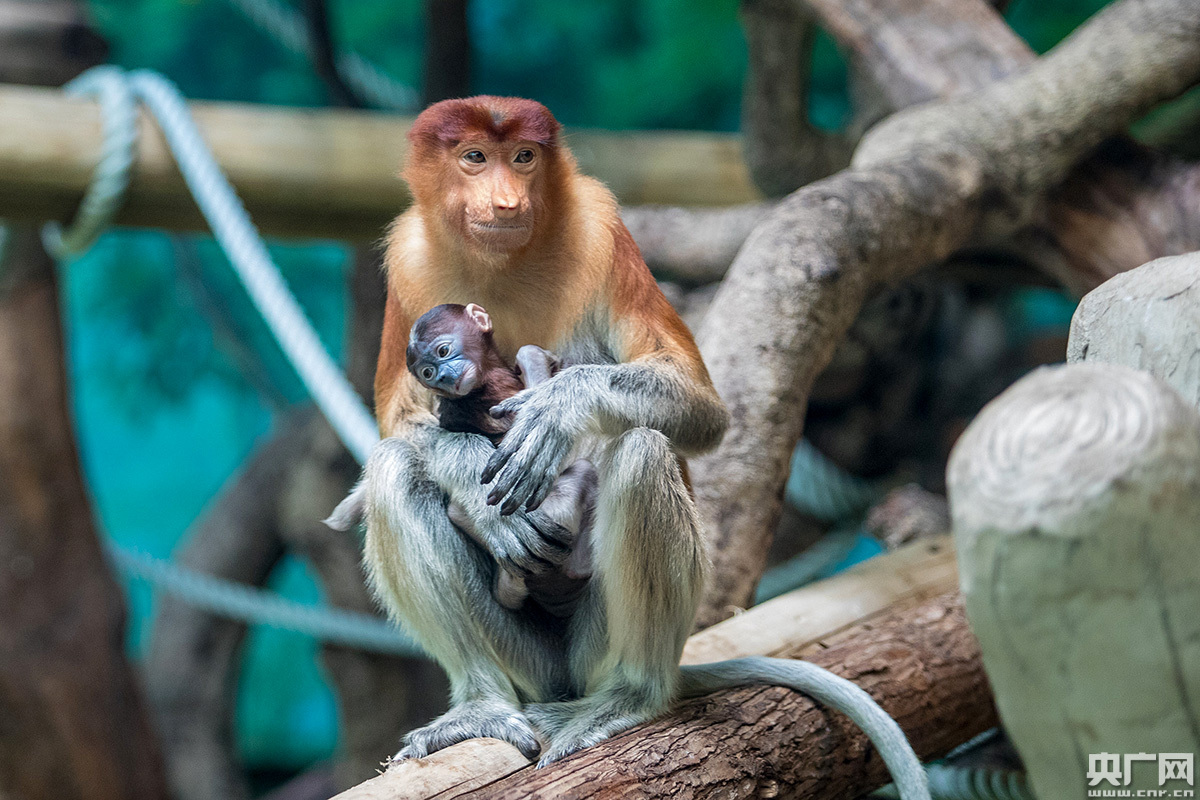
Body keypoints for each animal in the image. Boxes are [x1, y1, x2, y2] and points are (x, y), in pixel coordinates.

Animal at [408, 303, 595, 618]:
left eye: (443, 352)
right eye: (428, 372)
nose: (442, 377)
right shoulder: (494, 389)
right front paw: (534, 358)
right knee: (583, 472)